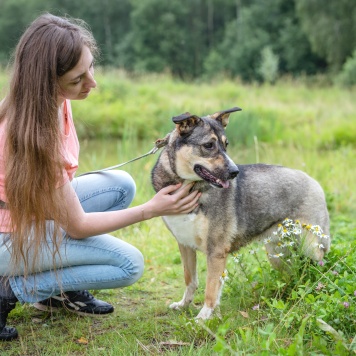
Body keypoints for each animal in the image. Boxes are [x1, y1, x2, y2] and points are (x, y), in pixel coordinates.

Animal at [151, 106, 330, 320]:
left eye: (226, 144)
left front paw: (203, 318)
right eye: (209, 145)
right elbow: (190, 280)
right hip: (277, 253)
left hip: (311, 245)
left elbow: (210, 289)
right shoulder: (185, 245)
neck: (190, 187)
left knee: (320, 266)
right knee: (293, 271)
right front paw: (184, 305)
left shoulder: (216, 251)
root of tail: (314, 181)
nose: (234, 172)